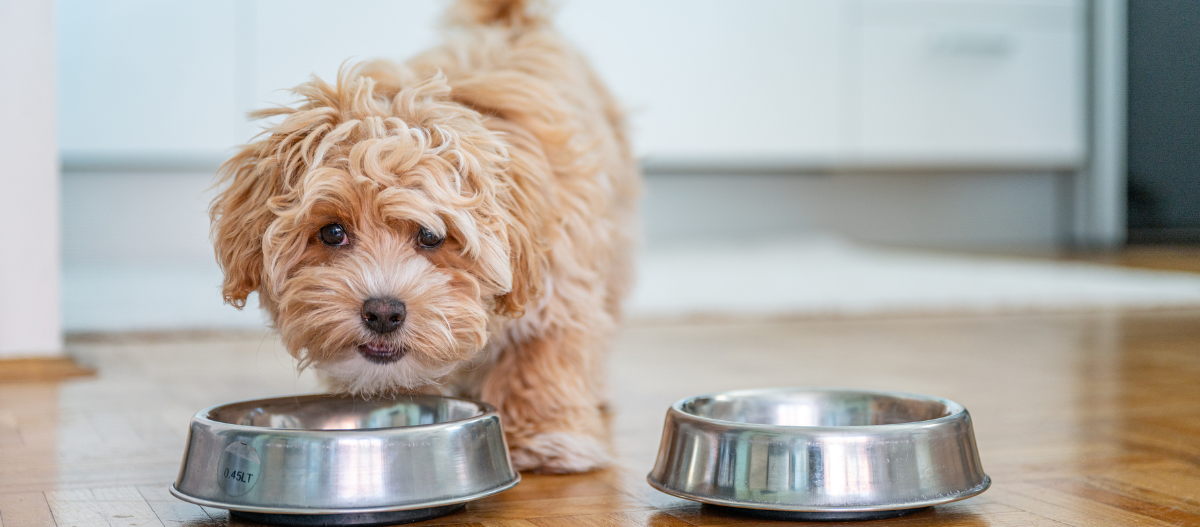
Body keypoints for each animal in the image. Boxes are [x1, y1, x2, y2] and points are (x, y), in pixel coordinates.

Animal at [208, 0, 638, 475]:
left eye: (431, 236)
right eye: (332, 232)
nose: (383, 313)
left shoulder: (558, 283)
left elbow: (541, 353)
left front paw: (543, 436)